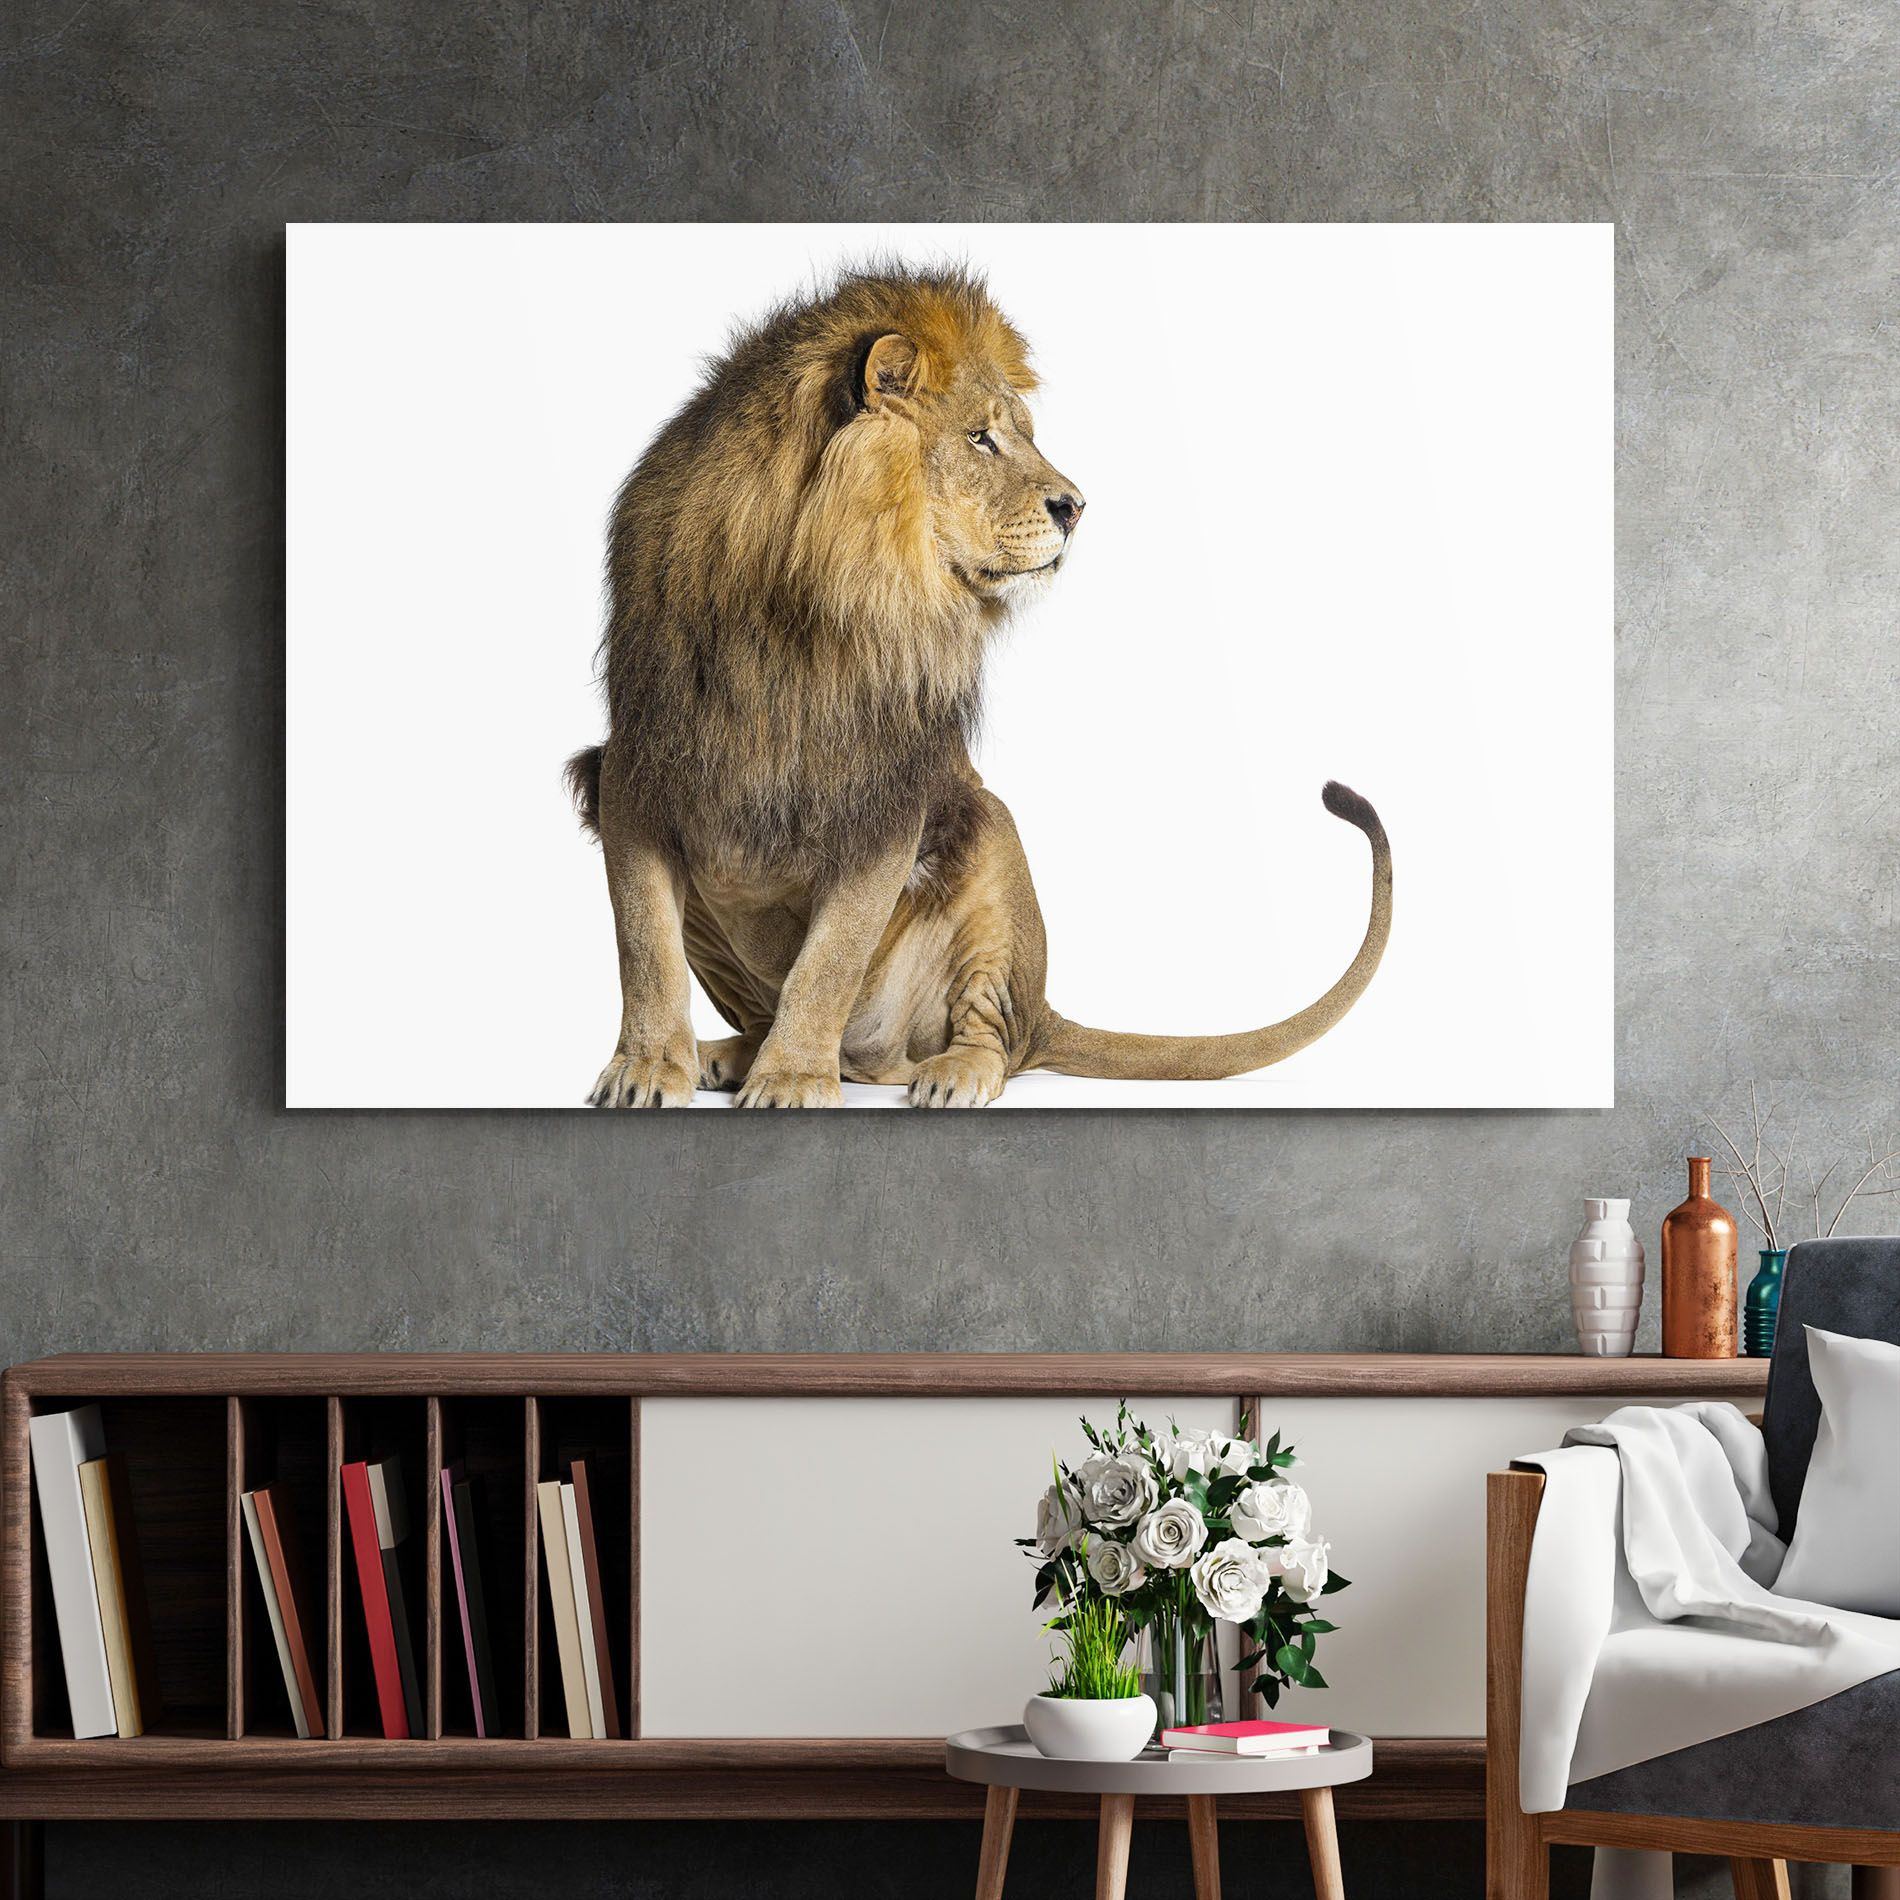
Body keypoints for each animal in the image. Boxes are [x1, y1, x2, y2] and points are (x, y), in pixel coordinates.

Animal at [566, 264, 1391, 1108]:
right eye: (980, 437)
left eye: (1020, 433)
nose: (1077, 507)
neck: (800, 609)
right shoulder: (634, 768)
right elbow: (645, 946)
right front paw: (648, 1067)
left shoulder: (888, 797)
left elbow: (827, 962)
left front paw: (793, 1077)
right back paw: (732, 1054)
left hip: (989, 843)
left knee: (992, 1036)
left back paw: (944, 1071)